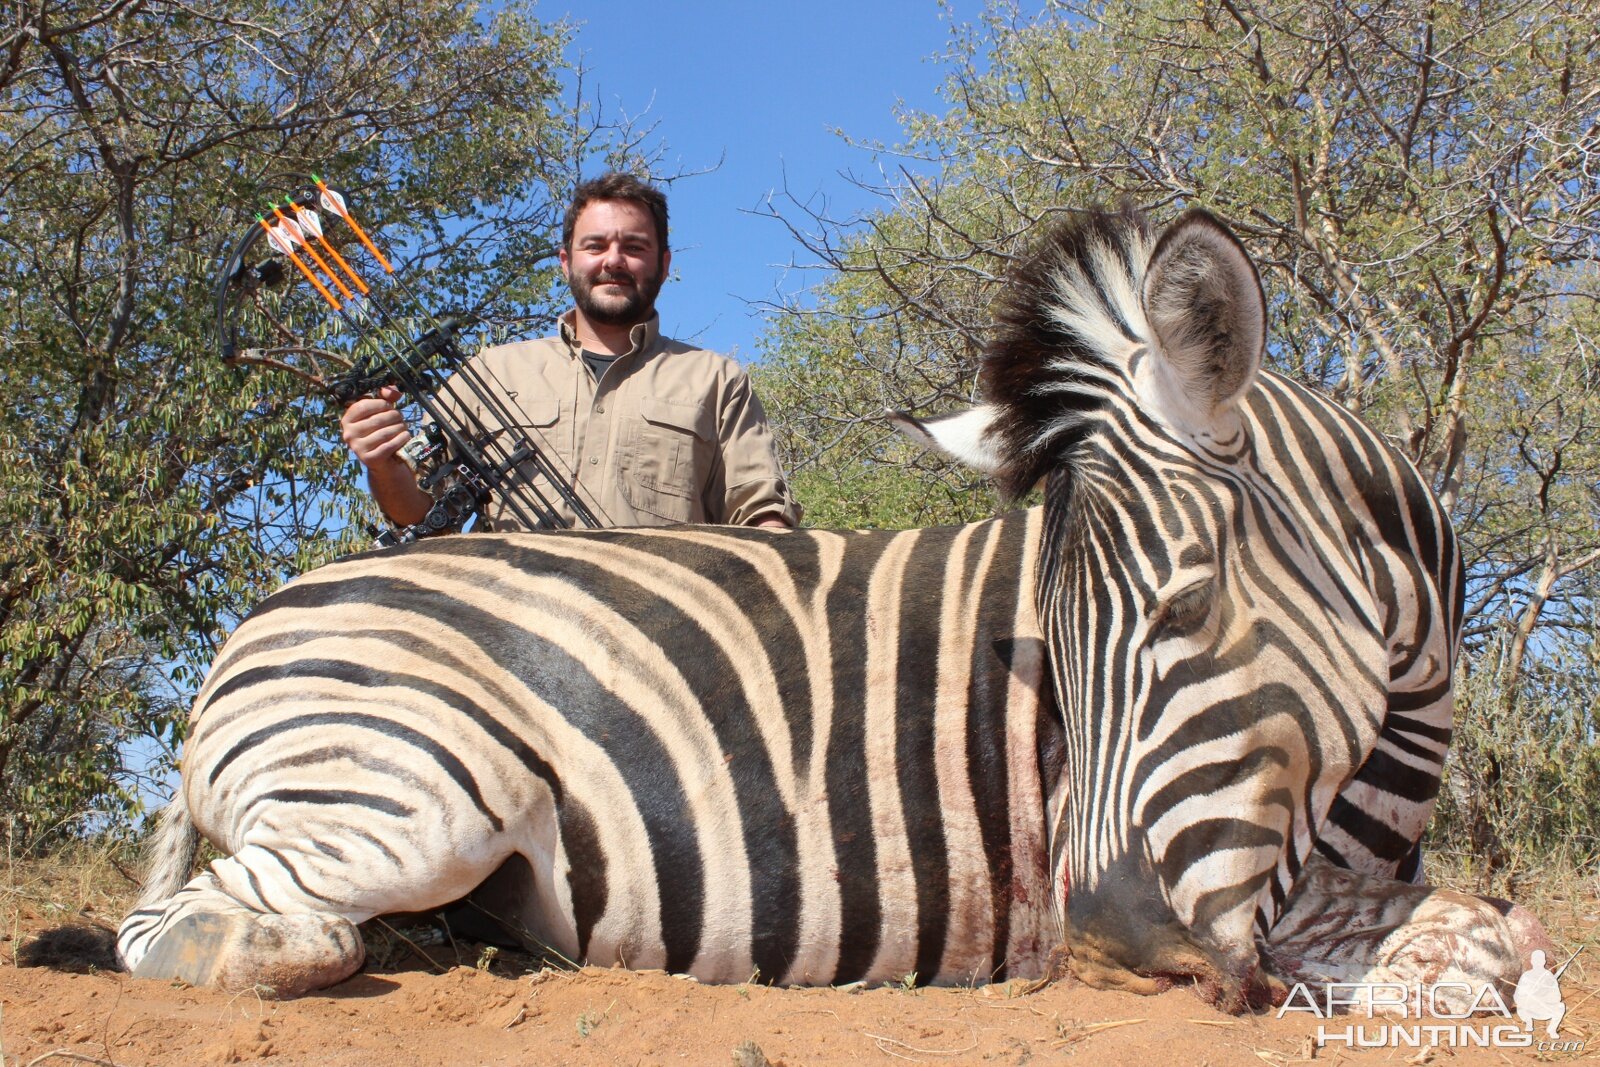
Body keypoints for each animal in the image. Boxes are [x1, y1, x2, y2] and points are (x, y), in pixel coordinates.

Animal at [118, 204, 1529, 1004]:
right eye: (1049, 661)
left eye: (1185, 605)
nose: (1115, 946)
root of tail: (263, 619)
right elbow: (1475, 937)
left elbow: (1469, 920)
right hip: (405, 792)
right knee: (211, 933)